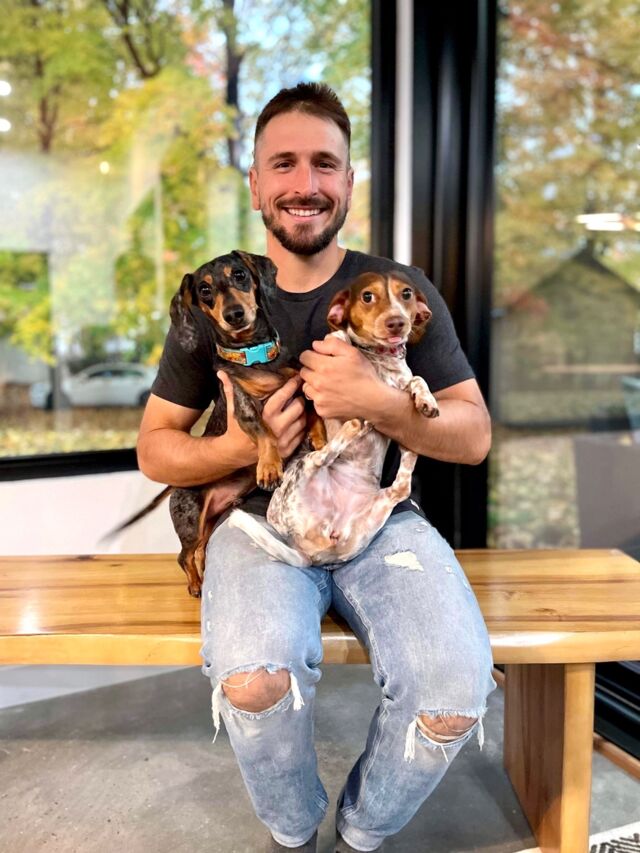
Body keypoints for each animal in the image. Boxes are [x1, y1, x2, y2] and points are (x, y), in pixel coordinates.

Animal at [106, 250, 325, 596]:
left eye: (239, 275)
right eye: (205, 290)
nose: (234, 314)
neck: (255, 355)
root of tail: (176, 485)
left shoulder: (298, 383)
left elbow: (313, 408)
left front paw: (319, 437)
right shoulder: (242, 405)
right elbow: (265, 430)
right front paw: (269, 466)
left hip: (213, 517)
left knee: (198, 551)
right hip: (192, 519)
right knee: (184, 555)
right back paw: (196, 585)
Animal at [227, 270, 439, 567]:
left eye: (406, 293)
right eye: (367, 296)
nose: (397, 323)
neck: (380, 360)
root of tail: (313, 553)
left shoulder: (401, 383)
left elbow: (417, 379)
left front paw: (427, 400)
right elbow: (339, 338)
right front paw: (341, 337)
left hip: (378, 505)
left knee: (402, 486)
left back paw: (404, 445)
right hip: (303, 468)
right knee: (322, 457)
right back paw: (355, 427)